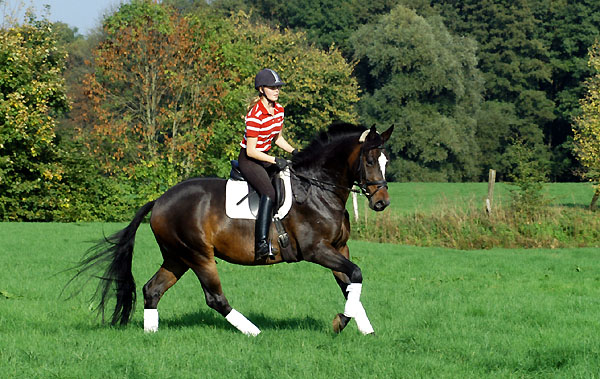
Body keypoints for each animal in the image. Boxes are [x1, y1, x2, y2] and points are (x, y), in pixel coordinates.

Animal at [69, 123, 394, 336]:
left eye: (386, 160)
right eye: (368, 160)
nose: (381, 202)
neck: (318, 189)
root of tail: (159, 200)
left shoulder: (339, 248)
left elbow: (349, 283)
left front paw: (362, 326)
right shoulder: (318, 250)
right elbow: (355, 275)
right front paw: (342, 321)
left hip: (176, 257)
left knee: (153, 289)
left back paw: (151, 334)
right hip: (199, 255)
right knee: (214, 297)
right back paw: (253, 331)